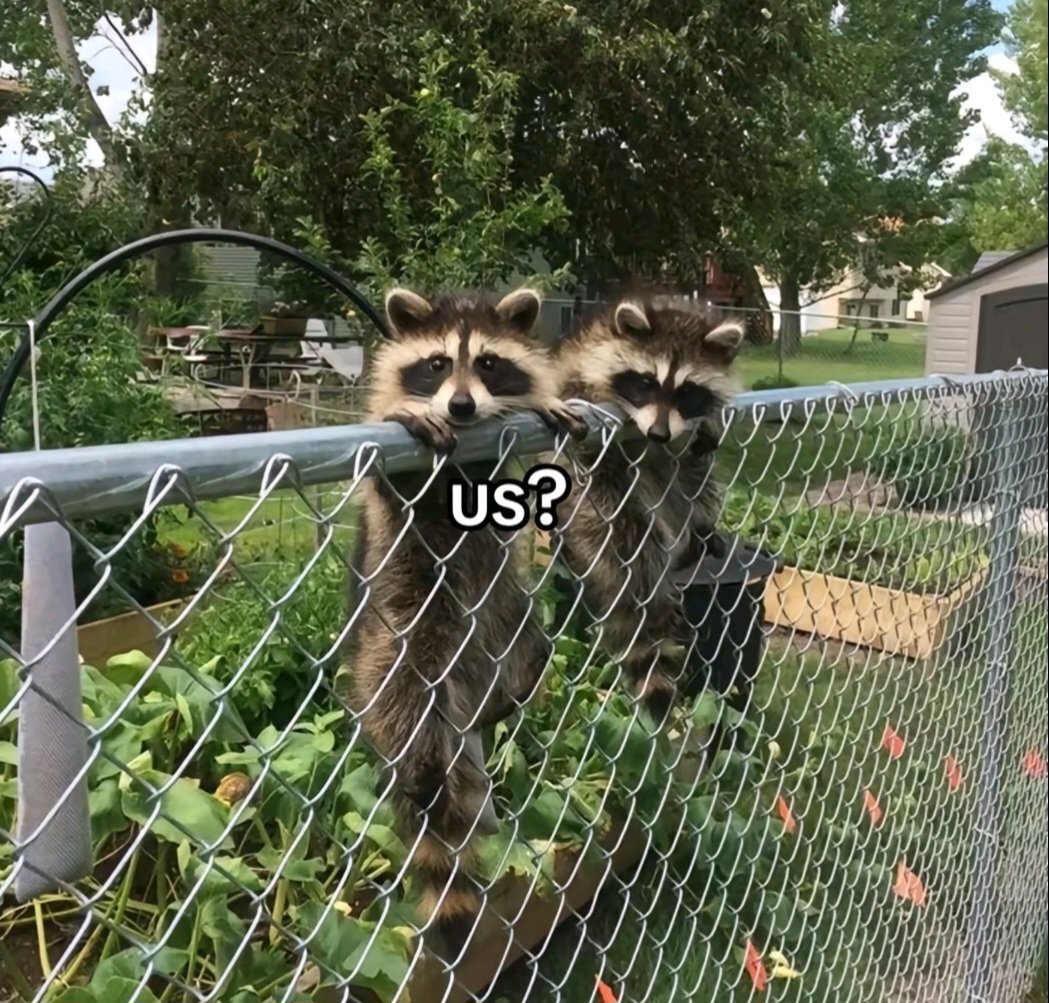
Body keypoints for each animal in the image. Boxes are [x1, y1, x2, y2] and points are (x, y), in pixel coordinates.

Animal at [343, 286, 585, 952]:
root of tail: (467, 690)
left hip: (509, 618)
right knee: (408, 714)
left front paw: (541, 398)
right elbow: (391, 477)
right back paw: (425, 771)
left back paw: (505, 699)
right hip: (400, 631)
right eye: (434, 364)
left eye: (489, 364)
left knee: (532, 652)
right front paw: (405, 412)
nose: (460, 405)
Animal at [553, 298, 744, 727]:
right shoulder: (582, 357)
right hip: (591, 495)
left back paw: (698, 533)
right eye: (645, 383)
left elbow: (702, 444)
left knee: (695, 475)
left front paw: (708, 421)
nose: (658, 434)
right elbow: (569, 387)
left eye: (687, 392)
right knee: (630, 538)